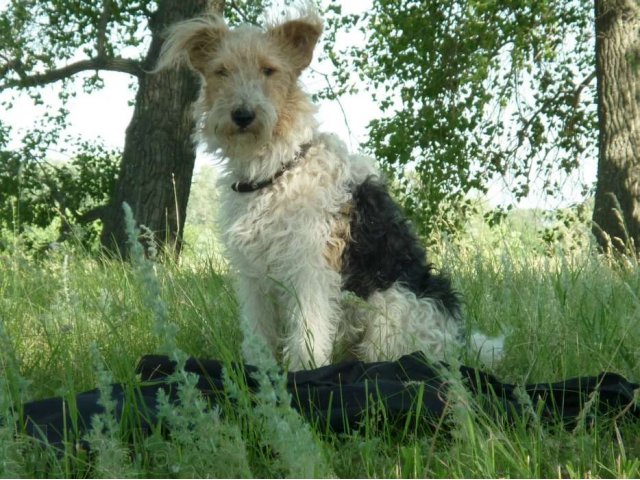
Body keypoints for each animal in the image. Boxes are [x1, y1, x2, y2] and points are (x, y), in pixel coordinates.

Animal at [158, 5, 502, 370]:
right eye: (221, 71)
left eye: (269, 69)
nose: (242, 115)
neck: (277, 169)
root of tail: (458, 343)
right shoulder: (254, 277)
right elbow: (258, 332)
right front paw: (261, 372)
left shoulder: (310, 270)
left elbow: (307, 335)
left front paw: (302, 373)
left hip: (393, 311)